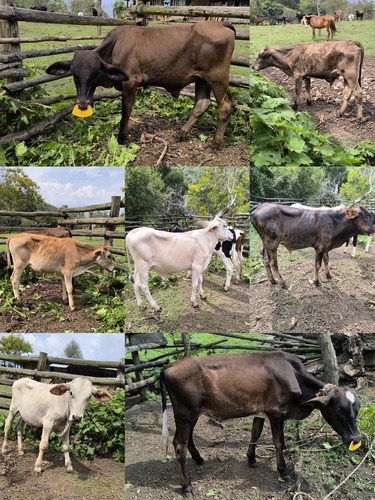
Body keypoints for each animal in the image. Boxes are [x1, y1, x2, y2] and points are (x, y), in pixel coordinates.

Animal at [46, 22, 235, 147]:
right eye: (74, 74)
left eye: (95, 73)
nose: (83, 103)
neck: (115, 46)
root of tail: (221, 24)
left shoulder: (131, 81)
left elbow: (126, 111)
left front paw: (122, 138)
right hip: (201, 78)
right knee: (203, 103)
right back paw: (180, 134)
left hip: (217, 77)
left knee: (225, 105)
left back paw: (216, 142)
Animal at [161, 350, 362, 498]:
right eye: (339, 409)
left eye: (357, 409)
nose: (355, 438)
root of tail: (169, 365)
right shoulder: (276, 411)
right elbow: (279, 441)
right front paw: (283, 470)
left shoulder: (261, 412)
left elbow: (255, 433)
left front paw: (251, 459)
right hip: (185, 413)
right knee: (179, 445)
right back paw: (187, 486)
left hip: (191, 414)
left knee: (185, 439)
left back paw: (198, 458)